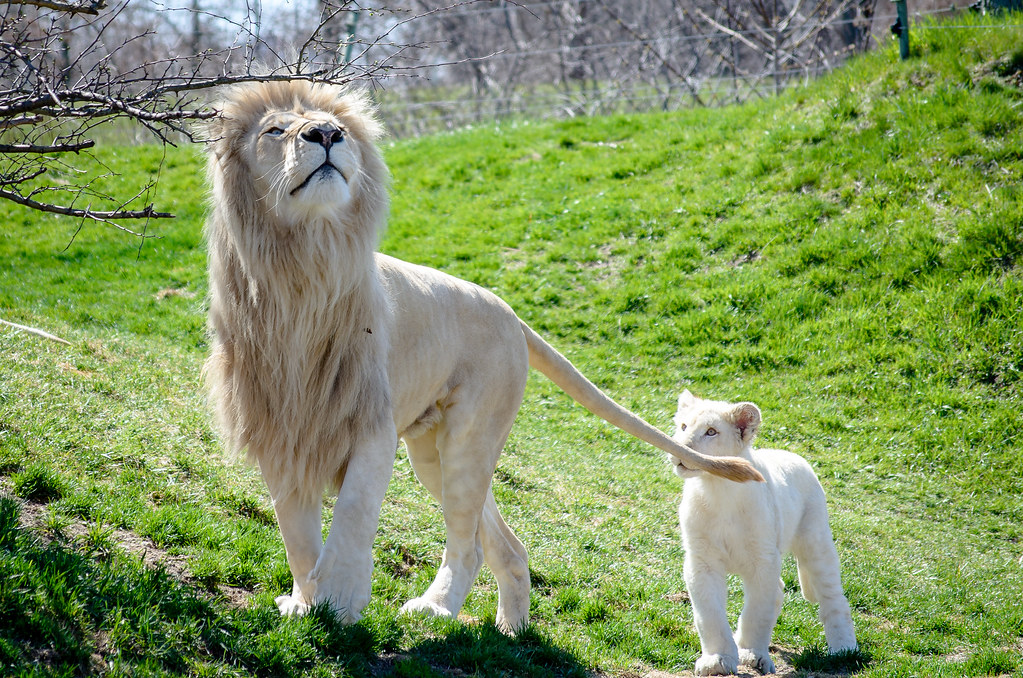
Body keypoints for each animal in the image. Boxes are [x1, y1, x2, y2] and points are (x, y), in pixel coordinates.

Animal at [201, 82, 761, 634]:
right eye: (275, 130)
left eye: (336, 126)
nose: (325, 133)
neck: (304, 272)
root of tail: (509, 311)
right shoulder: (280, 431)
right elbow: (296, 536)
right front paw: (304, 603)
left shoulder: (370, 426)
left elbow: (352, 519)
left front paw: (337, 602)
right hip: (434, 451)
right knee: (506, 545)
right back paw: (511, 630)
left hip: (469, 435)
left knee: (467, 543)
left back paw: (436, 608)